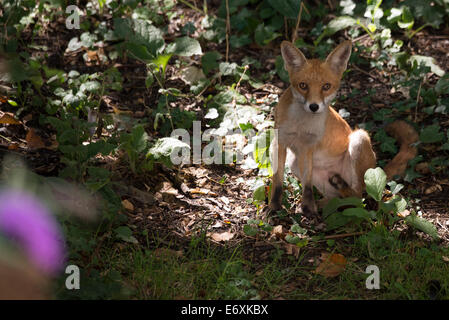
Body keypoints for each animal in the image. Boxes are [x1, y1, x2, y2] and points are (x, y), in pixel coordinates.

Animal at [268, 38, 418, 216]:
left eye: (326, 86)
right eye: (303, 85)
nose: (314, 106)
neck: (300, 124)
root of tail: (375, 167)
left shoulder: (309, 147)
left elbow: (307, 187)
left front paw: (307, 207)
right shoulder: (280, 142)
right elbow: (278, 180)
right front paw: (274, 207)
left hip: (359, 139)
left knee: (358, 197)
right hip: (294, 161)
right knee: (338, 198)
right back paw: (326, 203)